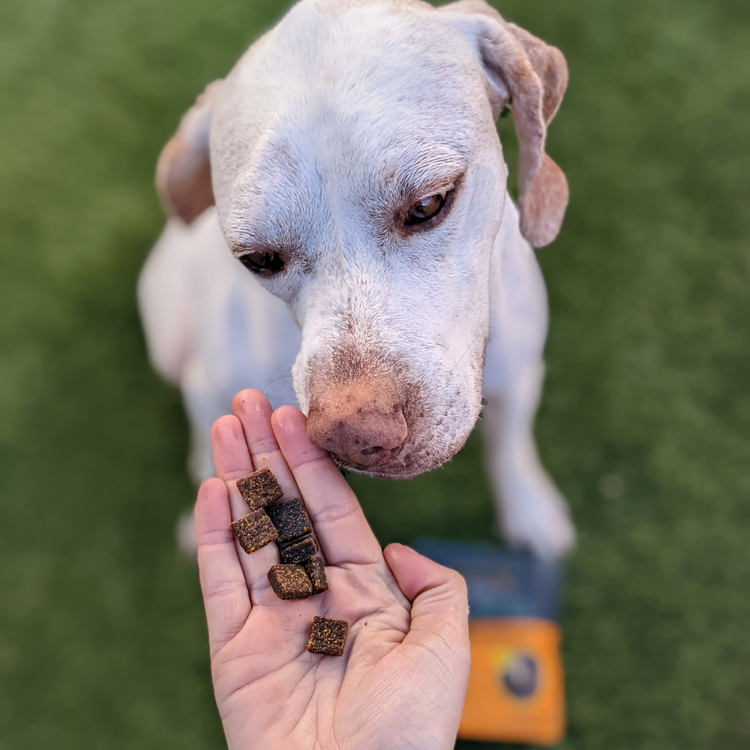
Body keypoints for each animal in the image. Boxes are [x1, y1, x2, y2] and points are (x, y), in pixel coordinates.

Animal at [138, 0, 580, 564]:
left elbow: (511, 445)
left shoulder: (521, 370)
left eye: (428, 203)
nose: (354, 437)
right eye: (258, 259)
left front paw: (529, 508)